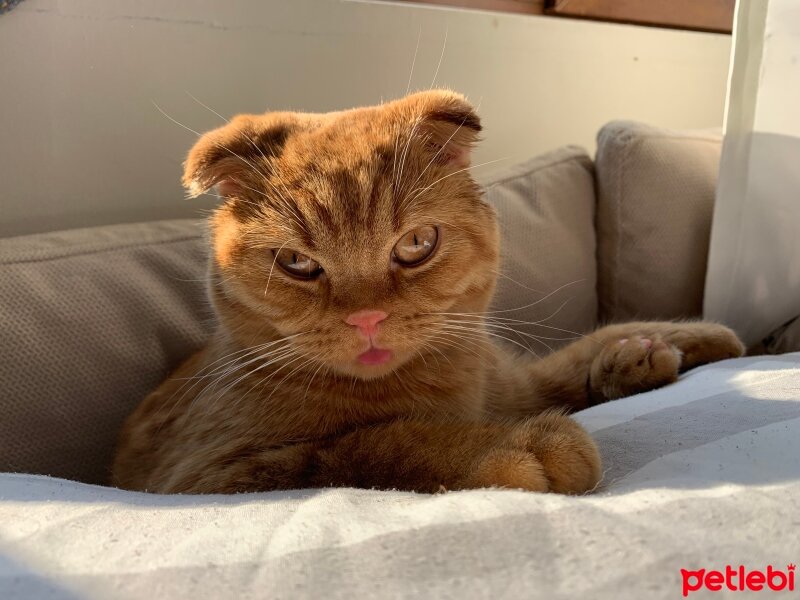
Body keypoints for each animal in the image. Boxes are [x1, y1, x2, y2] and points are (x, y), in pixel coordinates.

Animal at [112, 91, 744, 494]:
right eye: (296, 262)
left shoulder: (517, 381)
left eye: (416, 243)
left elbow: (579, 355)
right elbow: (374, 444)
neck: (446, 388)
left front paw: (657, 347)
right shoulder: (218, 471)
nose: (366, 317)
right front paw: (515, 446)